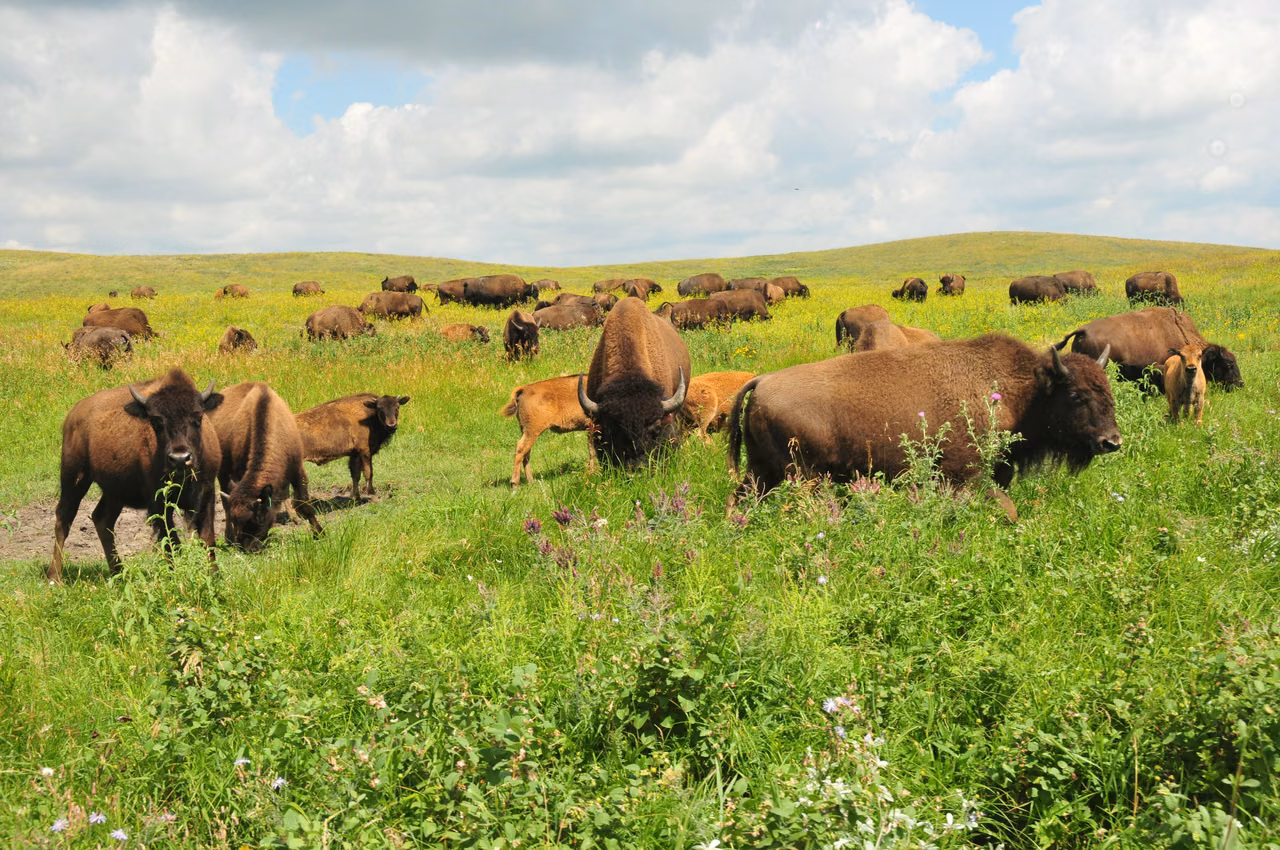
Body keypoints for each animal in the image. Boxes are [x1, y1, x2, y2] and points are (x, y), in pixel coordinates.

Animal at [50, 369, 223, 581]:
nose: (180, 458)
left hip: (114, 492)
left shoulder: (207, 493)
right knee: (64, 518)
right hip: (74, 477)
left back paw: (118, 573)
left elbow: (207, 538)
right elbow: (171, 542)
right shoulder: (158, 502)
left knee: (102, 519)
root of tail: (74, 414)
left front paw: (214, 576)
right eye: (156, 421)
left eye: (198, 417)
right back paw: (55, 578)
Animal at [208, 382, 322, 551]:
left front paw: (320, 533)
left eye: (259, 517)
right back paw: (229, 539)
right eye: (237, 521)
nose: (249, 547)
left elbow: (304, 504)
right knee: (225, 502)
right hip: (223, 472)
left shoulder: (297, 470)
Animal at [727, 334, 1122, 520]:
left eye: (1107, 389)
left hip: (762, 472)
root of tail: (761, 381)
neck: (1023, 390)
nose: (1112, 441)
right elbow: (1006, 508)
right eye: (1076, 395)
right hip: (803, 476)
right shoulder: (965, 475)